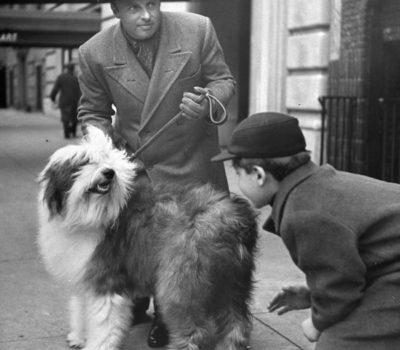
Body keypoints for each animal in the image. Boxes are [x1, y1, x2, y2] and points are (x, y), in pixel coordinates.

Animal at [36, 127, 256, 350]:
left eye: (107, 160)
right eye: (85, 162)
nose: (109, 173)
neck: (89, 214)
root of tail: (236, 216)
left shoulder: (105, 277)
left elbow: (103, 321)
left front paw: (98, 345)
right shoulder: (85, 276)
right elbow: (82, 308)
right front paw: (79, 337)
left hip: (181, 280)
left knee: (195, 330)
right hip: (232, 279)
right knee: (236, 322)